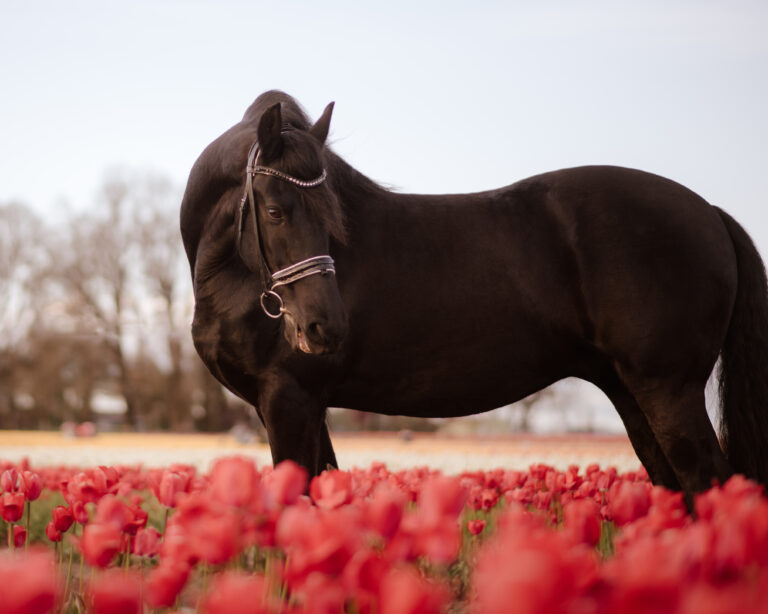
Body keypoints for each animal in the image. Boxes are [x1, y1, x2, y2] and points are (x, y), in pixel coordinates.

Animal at [183, 91, 768, 506]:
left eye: (330, 214)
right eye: (276, 210)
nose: (325, 327)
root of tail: (710, 212)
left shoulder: (290, 399)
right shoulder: (306, 407)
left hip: (669, 391)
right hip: (632, 393)